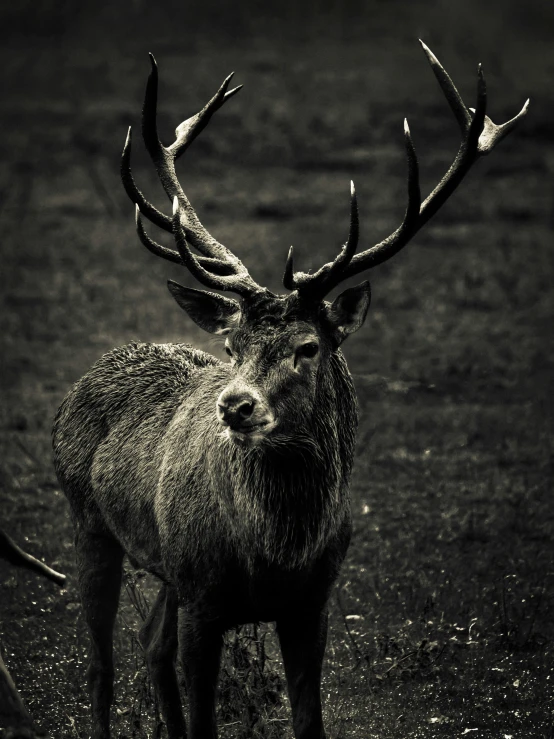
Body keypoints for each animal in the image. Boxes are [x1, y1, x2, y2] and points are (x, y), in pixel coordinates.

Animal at [51, 43, 528, 739]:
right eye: (231, 347)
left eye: (308, 347)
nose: (234, 405)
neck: (274, 554)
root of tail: (81, 382)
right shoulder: (204, 598)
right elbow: (203, 717)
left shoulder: (312, 602)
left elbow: (309, 720)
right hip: (87, 522)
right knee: (100, 667)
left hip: (165, 565)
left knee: (150, 642)